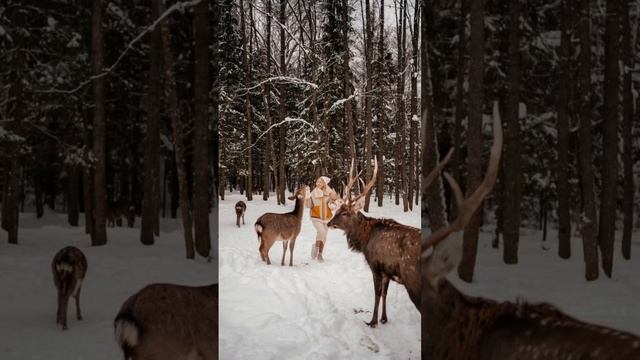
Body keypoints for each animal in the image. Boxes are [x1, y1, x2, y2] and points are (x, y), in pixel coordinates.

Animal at [328, 159, 422, 328]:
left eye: (344, 213)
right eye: (337, 210)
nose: (328, 223)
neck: (364, 240)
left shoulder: (376, 266)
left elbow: (377, 294)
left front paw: (372, 321)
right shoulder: (386, 271)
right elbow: (385, 294)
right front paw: (384, 318)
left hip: (413, 279)